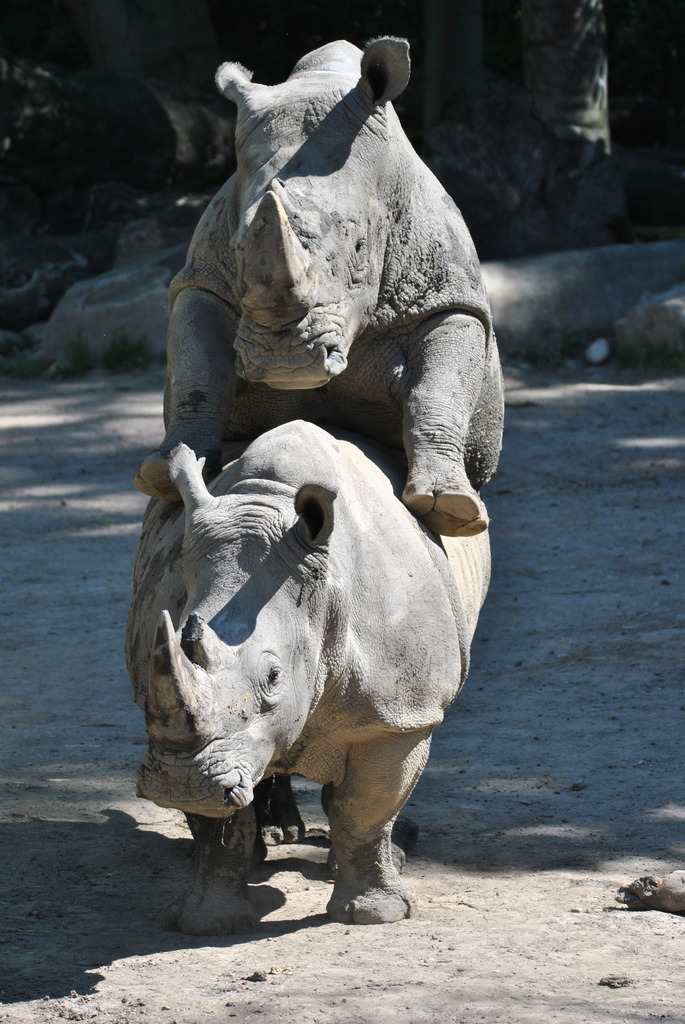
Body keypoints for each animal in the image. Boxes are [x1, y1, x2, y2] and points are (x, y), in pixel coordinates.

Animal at [127, 421, 490, 932]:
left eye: (275, 676)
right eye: (170, 643)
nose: (177, 785)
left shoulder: (400, 713)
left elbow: (363, 808)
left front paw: (375, 916)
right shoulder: (197, 739)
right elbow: (218, 823)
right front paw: (207, 923)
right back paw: (275, 839)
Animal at [134, 36, 503, 538]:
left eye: (362, 249)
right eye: (238, 247)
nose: (285, 363)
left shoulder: (446, 296)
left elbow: (440, 383)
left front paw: (450, 508)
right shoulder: (204, 279)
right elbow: (199, 368)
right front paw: (165, 472)